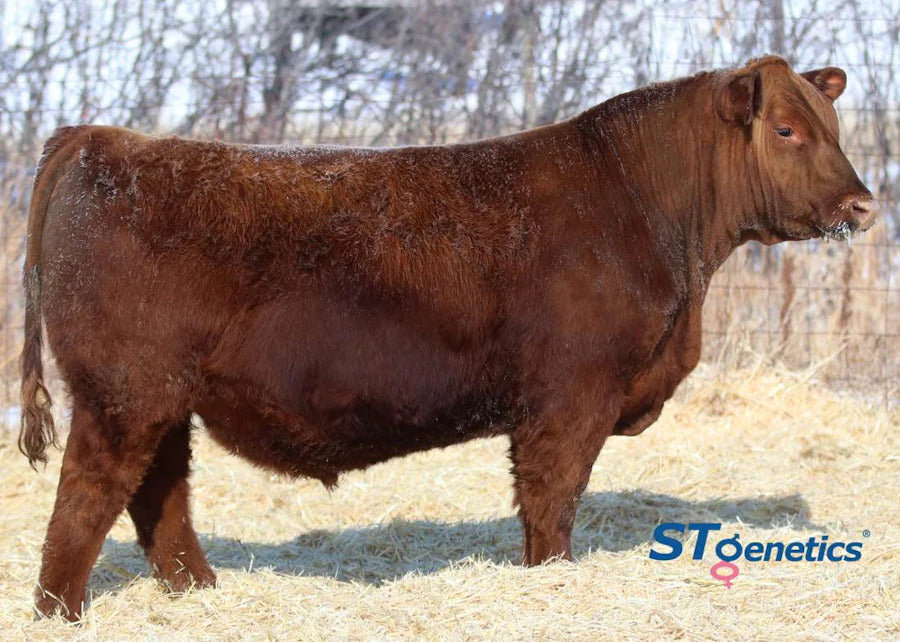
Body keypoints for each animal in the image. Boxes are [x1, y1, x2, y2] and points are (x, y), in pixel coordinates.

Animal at [19, 56, 877, 620]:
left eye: (832, 126)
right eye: (787, 129)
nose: (864, 206)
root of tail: (104, 139)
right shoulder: (569, 397)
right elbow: (552, 500)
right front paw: (551, 579)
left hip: (160, 400)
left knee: (158, 496)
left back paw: (197, 591)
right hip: (123, 394)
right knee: (87, 496)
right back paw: (61, 612)